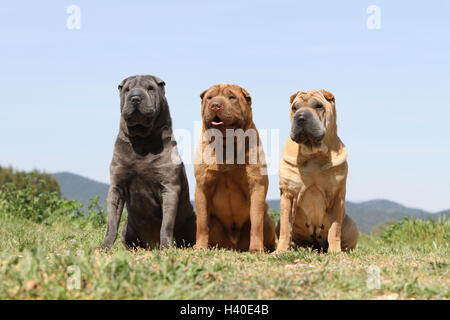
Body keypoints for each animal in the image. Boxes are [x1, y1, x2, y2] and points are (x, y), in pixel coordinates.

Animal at [100, 75, 195, 250]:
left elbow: (166, 225)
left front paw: (166, 247)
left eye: (150, 88)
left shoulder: (169, 188)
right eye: (127, 89)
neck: (142, 141)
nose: (135, 97)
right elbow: (111, 223)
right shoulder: (116, 187)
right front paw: (104, 247)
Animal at [194, 84, 276, 252]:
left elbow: (256, 222)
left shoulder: (257, 185)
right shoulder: (202, 187)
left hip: (268, 220)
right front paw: (200, 247)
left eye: (232, 97)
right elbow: (202, 222)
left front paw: (256, 249)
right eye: (209, 98)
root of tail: (233, 245)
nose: (215, 105)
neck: (226, 145)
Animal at [276, 89, 356, 252]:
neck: (313, 154)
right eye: (294, 107)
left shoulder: (337, 196)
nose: (300, 117)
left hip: (352, 227)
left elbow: (334, 229)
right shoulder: (288, 194)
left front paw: (335, 251)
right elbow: (286, 229)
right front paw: (280, 251)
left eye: (319, 106)